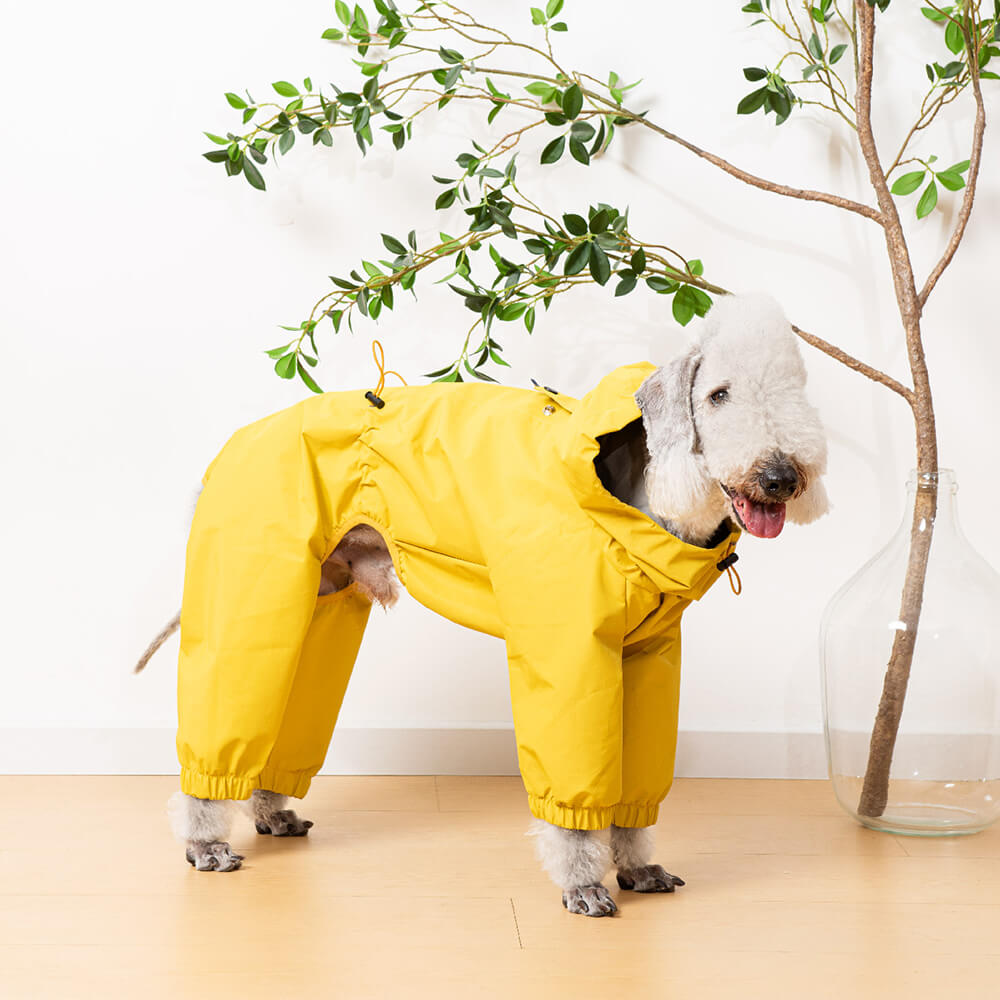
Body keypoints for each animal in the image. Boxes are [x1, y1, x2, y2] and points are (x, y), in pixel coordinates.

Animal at [139, 290, 828, 916]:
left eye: (795, 390)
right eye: (718, 395)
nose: (780, 477)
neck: (636, 502)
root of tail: (227, 450)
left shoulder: (649, 659)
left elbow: (638, 785)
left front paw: (638, 868)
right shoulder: (570, 656)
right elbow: (574, 792)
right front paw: (583, 885)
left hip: (318, 604)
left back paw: (270, 814)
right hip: (251, 586)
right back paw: (204, 844)